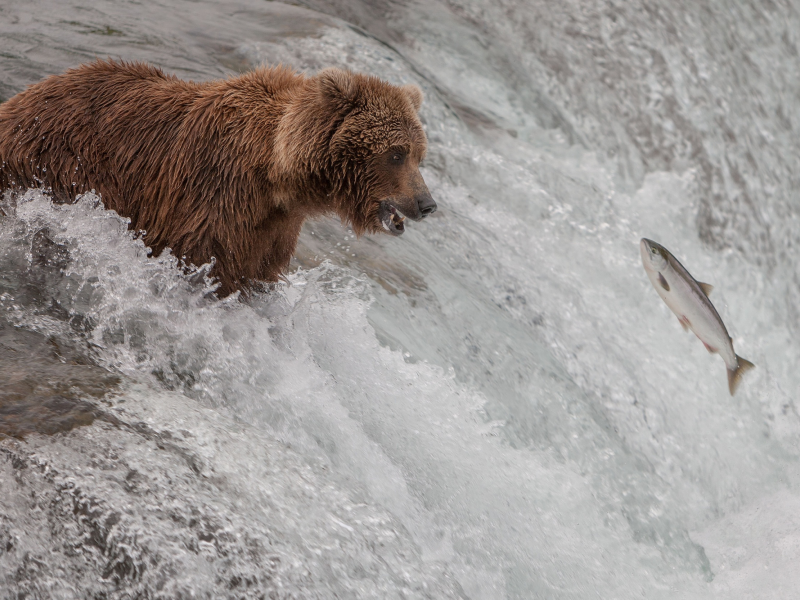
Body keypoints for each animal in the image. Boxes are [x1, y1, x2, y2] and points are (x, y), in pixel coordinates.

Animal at [0, 59, 434, 296]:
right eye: (396, 153)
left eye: (420, 154)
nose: (427, 203)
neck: (276, 176)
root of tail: (22, 98)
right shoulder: (214, 193)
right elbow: (203, 261)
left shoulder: (273, 229)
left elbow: (257, 273)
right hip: (58, 164)